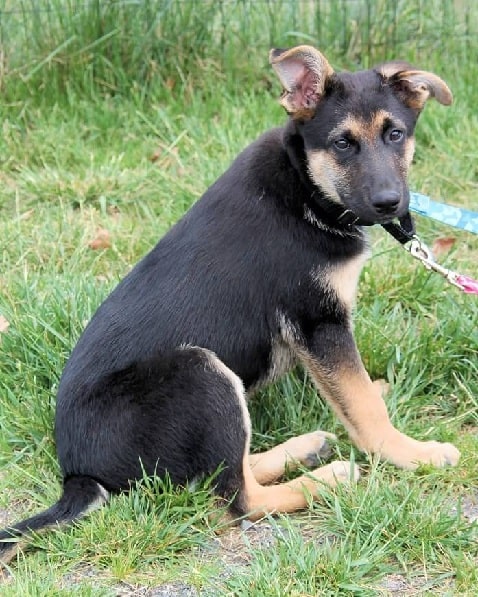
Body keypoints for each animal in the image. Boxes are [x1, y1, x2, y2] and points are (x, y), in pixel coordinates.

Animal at [0, 46, 464, 564]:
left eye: (395, 134)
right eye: (343, 144)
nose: (390, 203)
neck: (305, 184)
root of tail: (78, 475)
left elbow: (355, 392)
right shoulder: (317, 321)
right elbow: (362, 404)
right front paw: (413, 454)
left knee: (227, 470)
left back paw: (303, 449)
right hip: (200, 372)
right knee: (236, 500)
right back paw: (326, 478)